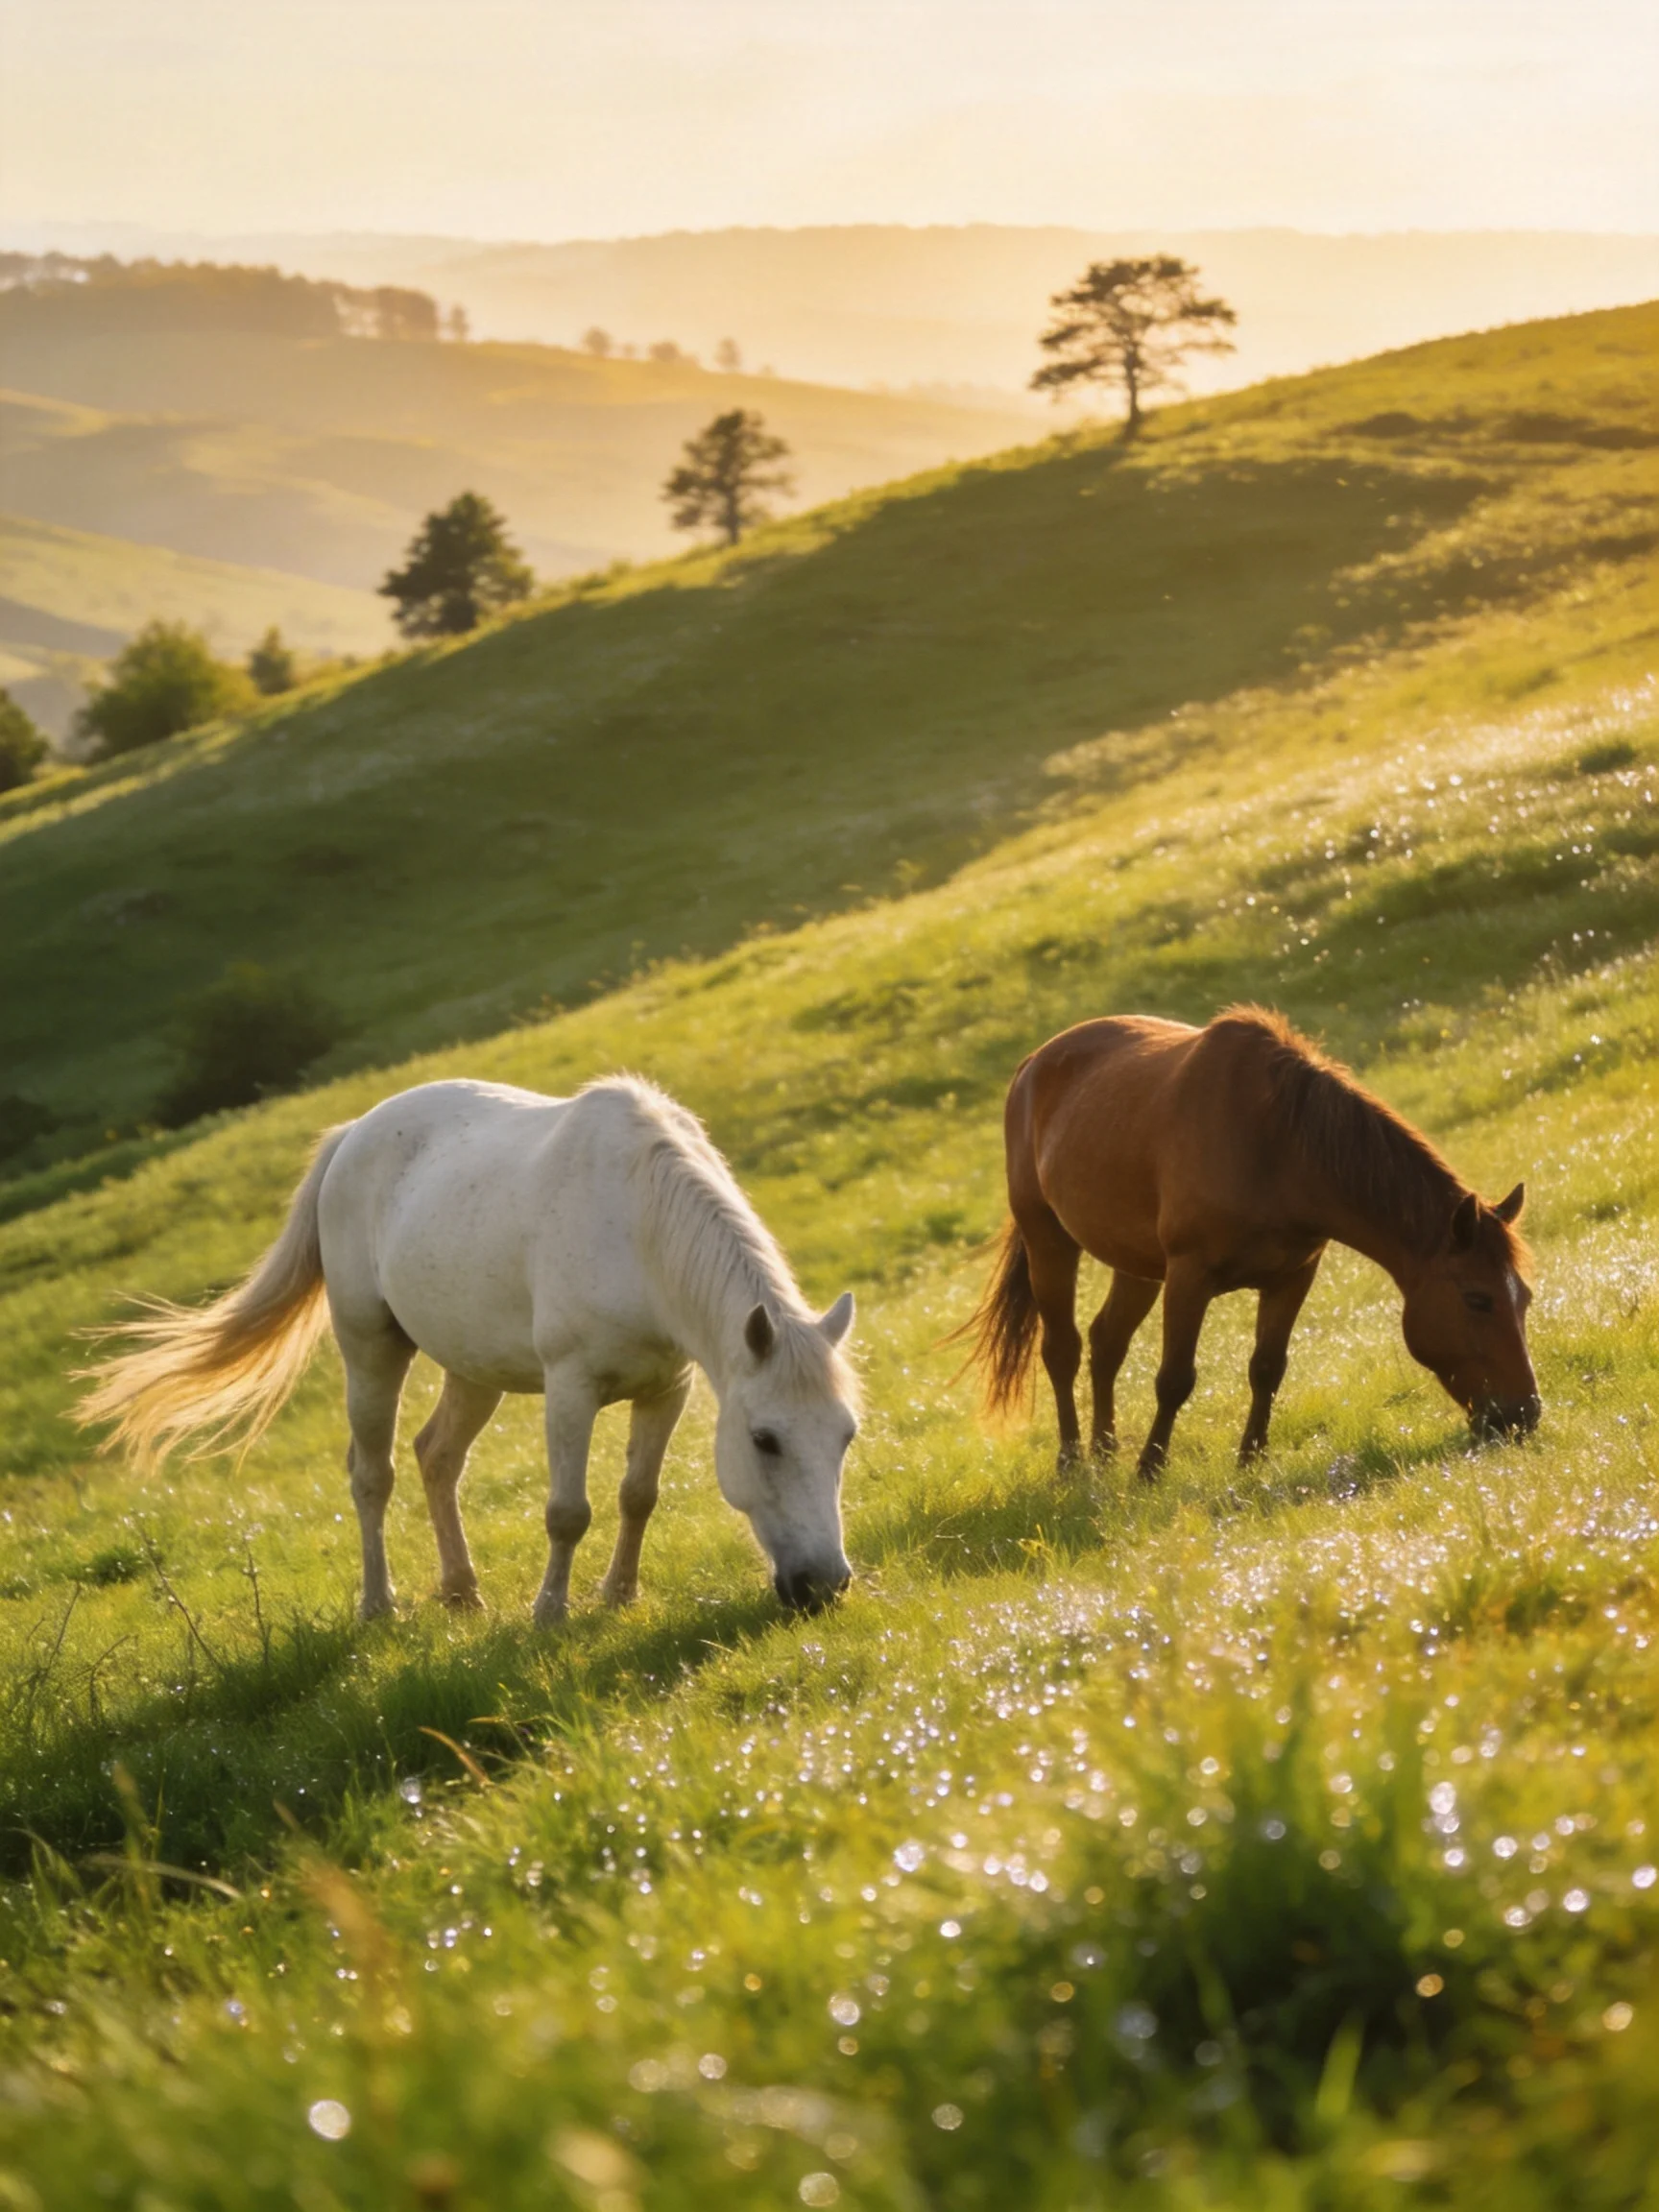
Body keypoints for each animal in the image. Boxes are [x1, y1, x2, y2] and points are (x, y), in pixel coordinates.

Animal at [79, 1076, 860, 1621]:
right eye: (765, 1440)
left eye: (846, 1436)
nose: (824, 1585)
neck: (637, 1227)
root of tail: (353, 1135)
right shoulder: (572, 1387)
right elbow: (567, 1511)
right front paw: (551, 1613)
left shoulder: (669, 1387)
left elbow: (638, 1495)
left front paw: (619, 1596)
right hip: (370, 1350)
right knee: (373, 1474)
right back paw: (379, 1605)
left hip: (472, 1369)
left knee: (438, 1458)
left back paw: (460, 1590)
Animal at [962, 1006, 1539, 1477]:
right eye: (1478, 1299)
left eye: (1525, 1298)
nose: (1524, 1415)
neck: (1276, 1146)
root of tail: (1033, 1064)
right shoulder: (1189, 1276)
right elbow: (1175, 1379)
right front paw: (1150, 1470)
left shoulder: (1293, 1276)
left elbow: (1267, 1368)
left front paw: (1251, 1461)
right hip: (1048, 1240)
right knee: (1063, 1349)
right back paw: (1073, 1463)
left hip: (1137, 1263)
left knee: (1107, 1343)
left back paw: (1105, 1453)